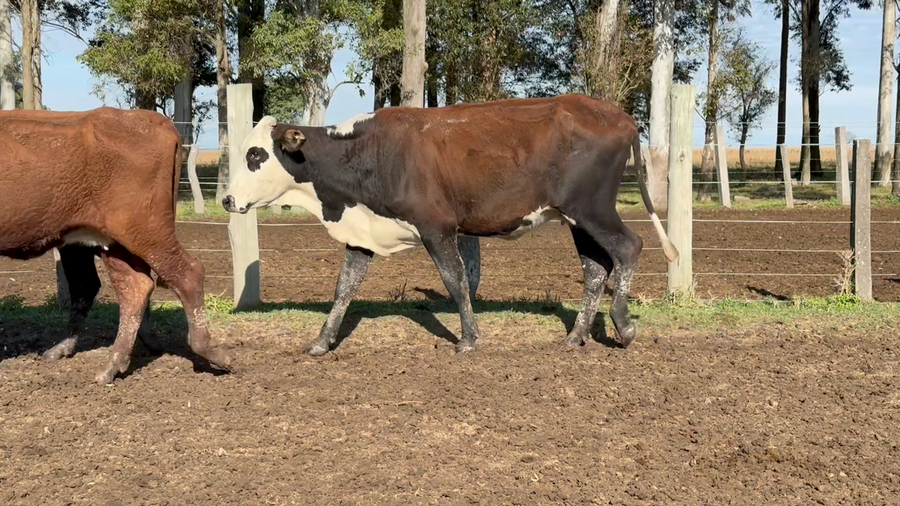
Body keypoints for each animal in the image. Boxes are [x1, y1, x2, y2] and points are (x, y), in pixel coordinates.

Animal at [0, 107, 231, 384]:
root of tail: (150, 119)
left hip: (145, 234)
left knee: (186, 274)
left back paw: (212, 353)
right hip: (107, 244)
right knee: (126, 287)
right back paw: (109, 364)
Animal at [222, 94, 677, 355]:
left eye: (256, 155)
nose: (227, 199)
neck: (372, 152)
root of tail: (618, 115)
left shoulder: (436, 227)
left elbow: (455, 279)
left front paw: (469, 339)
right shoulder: (363, 231)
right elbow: (344, 287)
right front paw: (321, 341)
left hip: (592, 209)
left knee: (629, 248)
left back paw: (624, 325)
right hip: (577, 218)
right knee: (596, 269)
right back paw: (575, 336)